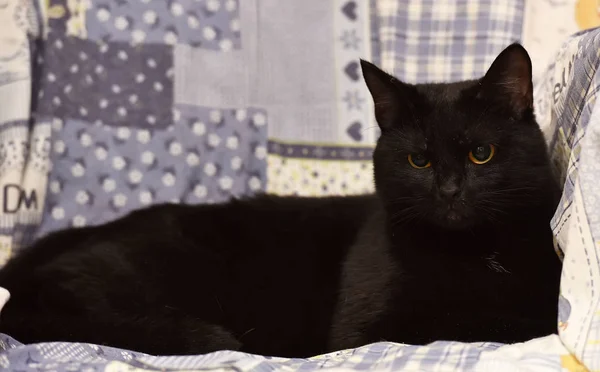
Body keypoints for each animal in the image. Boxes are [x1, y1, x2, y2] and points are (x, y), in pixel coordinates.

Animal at [0, 43, 564, 358]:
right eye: (418, 161)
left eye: (481, 154)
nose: (449, 191)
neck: (473, 253)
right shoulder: (370, 328)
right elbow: (477, 322)